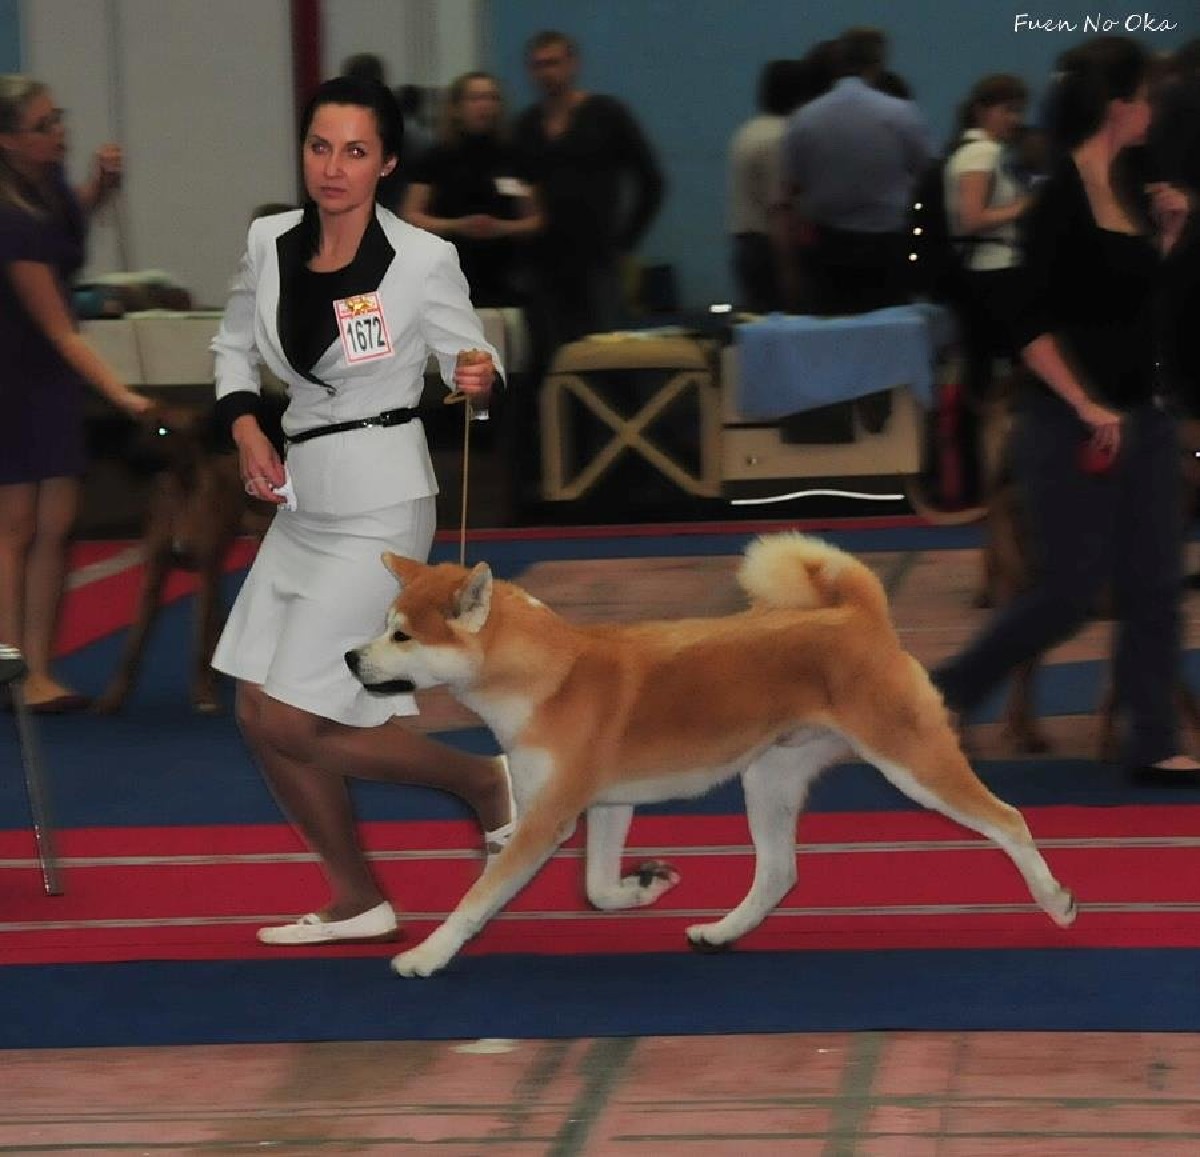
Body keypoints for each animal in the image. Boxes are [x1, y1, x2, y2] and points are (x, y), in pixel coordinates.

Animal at [93, 399, 282, 715]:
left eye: (163, 430)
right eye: (139, 424)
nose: (128, 455)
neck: (181, 494)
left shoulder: (204, 572)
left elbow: (197, 644)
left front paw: (203, 693)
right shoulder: (154, 575)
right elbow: (133, 644)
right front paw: (112, 697)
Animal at [346, 532, 1077, 979]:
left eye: (402, 635)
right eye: (383, 624)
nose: (351, 657)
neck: (547, 677)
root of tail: (860, 616)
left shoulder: (547, 819)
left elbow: (478, 896)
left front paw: (427, 954)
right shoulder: (605, 804)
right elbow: (597, 888)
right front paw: (645, 885)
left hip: (911, 761)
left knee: (1009, 820)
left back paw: (1055, 899)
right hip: (769, 777)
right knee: (778, 872)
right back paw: (722, 932)